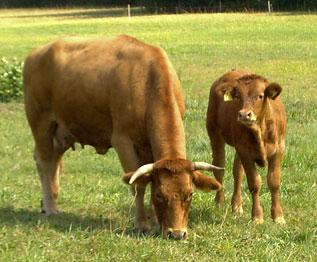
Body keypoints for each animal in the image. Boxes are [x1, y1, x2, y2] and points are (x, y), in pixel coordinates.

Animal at [23, 35, 221, 241]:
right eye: (160, 195)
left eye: (190, 194)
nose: (177, 233)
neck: (148, 81)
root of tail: (36, 53)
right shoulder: (123, 141)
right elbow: (138, 185)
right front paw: (141, 223)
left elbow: (148, 178)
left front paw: (155, 220)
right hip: (41, 122)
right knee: (45, 162)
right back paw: (49, 206)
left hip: (62, 131)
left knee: (55, 161)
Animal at [206, 70, 286, 225]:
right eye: (237, 96)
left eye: (260, 95)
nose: (244, 114)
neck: (260, 129)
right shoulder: (245, 152)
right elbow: (254, 184)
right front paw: (257, 217)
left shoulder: (279, 150)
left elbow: (274, 182)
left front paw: (278, 216)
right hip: (215, 135)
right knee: (219, 168)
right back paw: (219, 202)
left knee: (237, 172)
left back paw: (237, 206)